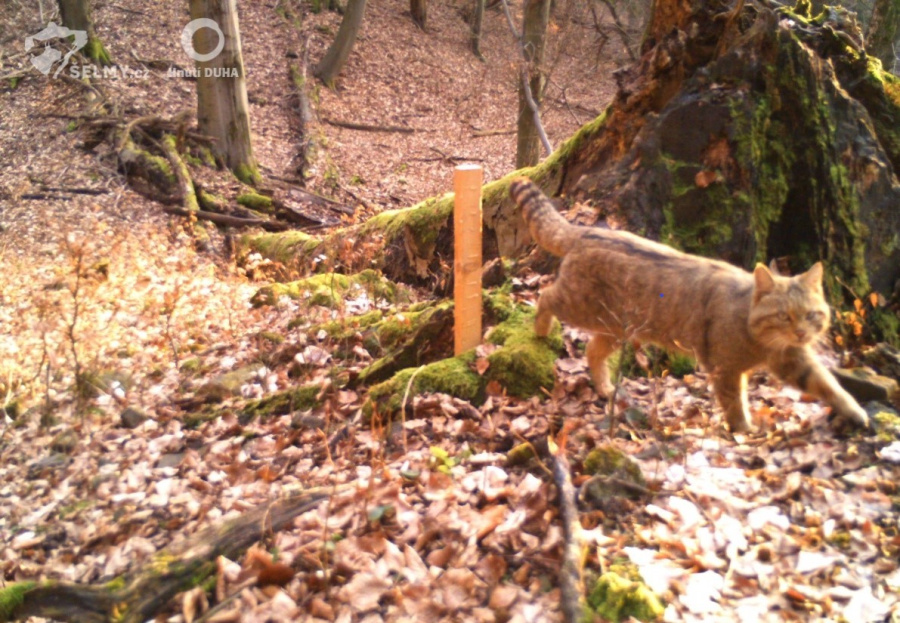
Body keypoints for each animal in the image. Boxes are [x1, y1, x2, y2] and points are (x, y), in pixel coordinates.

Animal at [512, 177, 872, 434]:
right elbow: (734, 402)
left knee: (592, 351)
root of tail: (586, 231)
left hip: (615, 327)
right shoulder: (724, 368)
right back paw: (542, 330)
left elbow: (828, 385)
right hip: (581, 304)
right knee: (546, 296)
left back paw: (604, 387)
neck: (761, 341)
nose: (800, 333)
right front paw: (744, 430)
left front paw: (855, 411)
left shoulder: (794, 360)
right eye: (784, 316)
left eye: (811, 315)